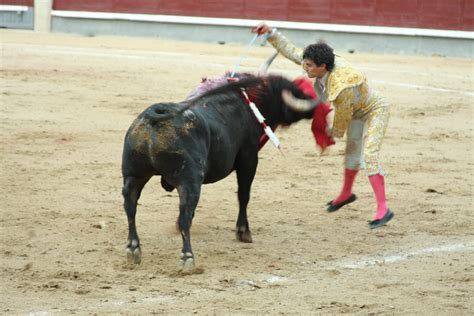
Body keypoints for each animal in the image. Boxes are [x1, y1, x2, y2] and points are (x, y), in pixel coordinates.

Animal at [122, 73, 318, 272]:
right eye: (294, 90)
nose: (314, 106)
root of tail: (154, 116)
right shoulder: (248, 159)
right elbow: (243, 195)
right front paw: (243, 232)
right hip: (189, 182)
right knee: (185, 215)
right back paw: (187, 257)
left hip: (133, 176)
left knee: (131, 207)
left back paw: (134, 249)